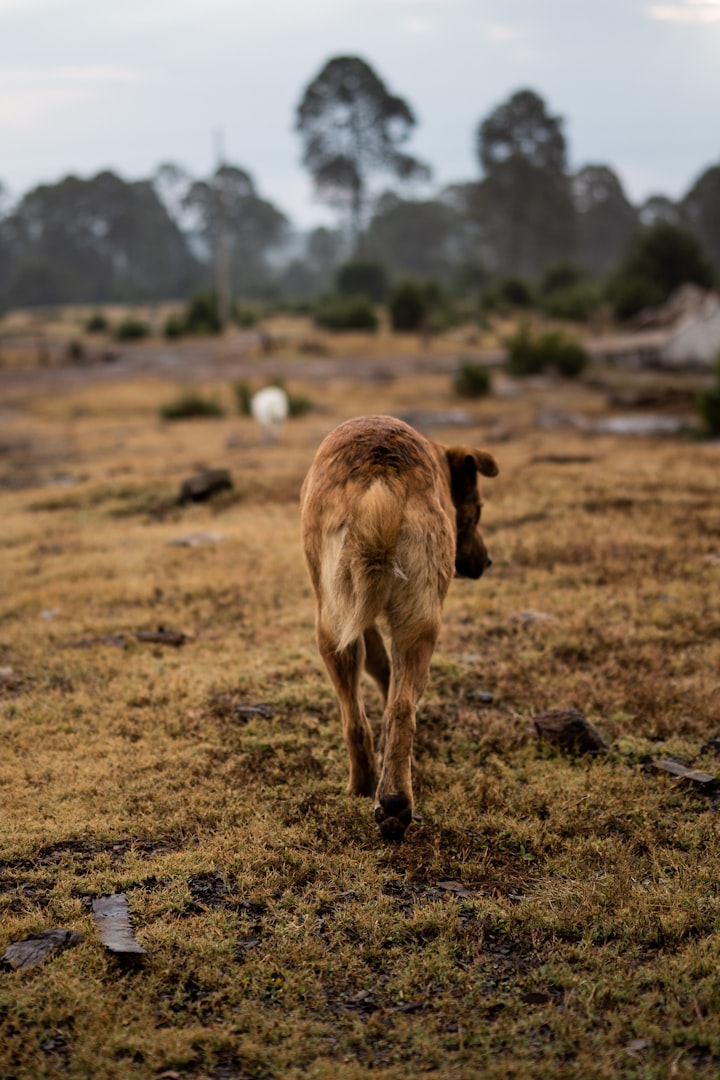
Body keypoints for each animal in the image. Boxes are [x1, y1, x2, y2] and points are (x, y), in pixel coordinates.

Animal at [302, 416, 498, 838]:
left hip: (338, 621)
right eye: (475, 511)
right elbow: (382, 668)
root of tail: (381, 477)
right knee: (396, 709)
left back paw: (373, 792)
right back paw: (389, 799)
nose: (487, 562)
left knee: (365, 714)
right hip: (409, 622)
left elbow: (378, 666)